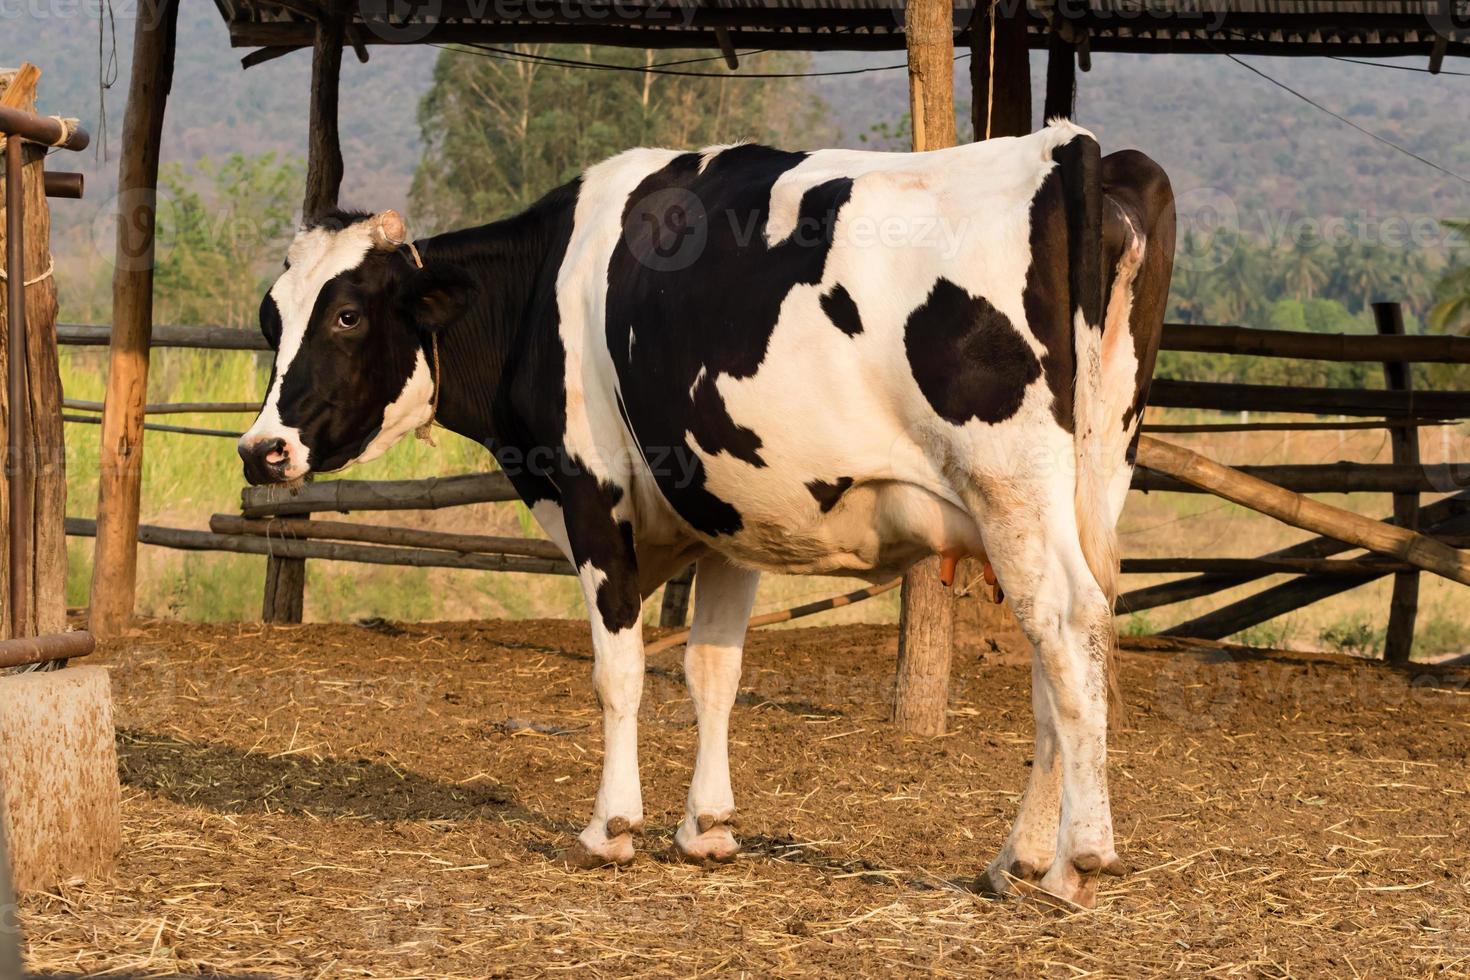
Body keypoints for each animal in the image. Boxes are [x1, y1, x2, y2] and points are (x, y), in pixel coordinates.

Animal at [246, 122, 1176, 910]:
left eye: (348, 314)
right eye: (271, 317)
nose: (261, 450)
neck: (545, 287)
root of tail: (1071, 147)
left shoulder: (592, 495)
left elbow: (620, 671)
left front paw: (611, 827)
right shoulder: (731, 512)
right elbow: (712, 671)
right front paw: (708, 828)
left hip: (1010, 486)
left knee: (1068, 626)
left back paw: (1079, 860)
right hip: (1087, 483)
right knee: (1066, 650)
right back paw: (1020, 858)